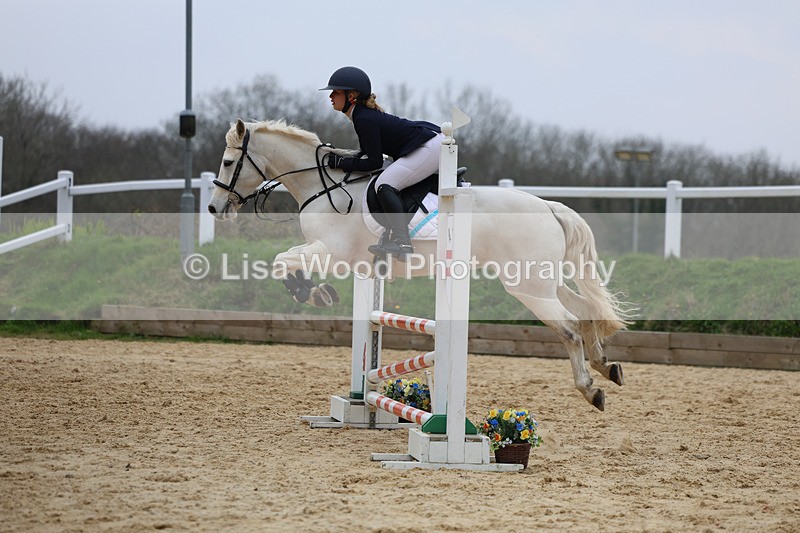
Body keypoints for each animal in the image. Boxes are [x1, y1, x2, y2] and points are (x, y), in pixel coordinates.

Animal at [208, 118, 631, 411]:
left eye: (228, 162)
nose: (214, 208)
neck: (321, 186)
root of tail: (548, 206)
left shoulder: (333, 251)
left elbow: (283, 261)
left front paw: (313, 292)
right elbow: (287, 262)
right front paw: (316, 291)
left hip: (527, 286)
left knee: (570, 327)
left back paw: (590, 389)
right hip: (541, 281)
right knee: (585, 310)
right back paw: (606, 366)